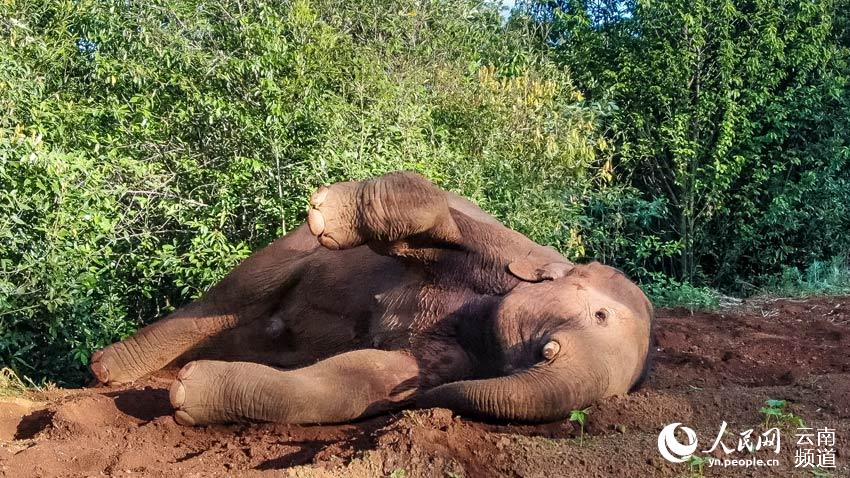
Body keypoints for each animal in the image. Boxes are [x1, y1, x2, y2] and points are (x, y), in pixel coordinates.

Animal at [89, 172, 652, 426]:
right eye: (600, 315)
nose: (418, 403)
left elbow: (359, 380)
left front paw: (186, 394)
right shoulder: (501, 248)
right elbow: (436, 214)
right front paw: (328, 211)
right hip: (284, 254)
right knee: (236, 293)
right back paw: (106, 369)